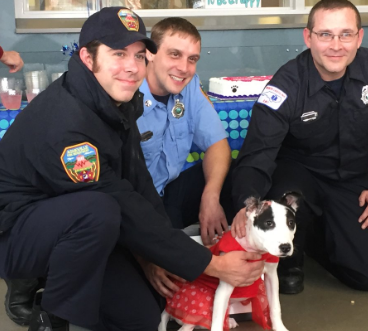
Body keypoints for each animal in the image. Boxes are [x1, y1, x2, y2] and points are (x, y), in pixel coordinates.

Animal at [158, 192, 300, 331]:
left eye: (291, 223)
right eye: (269, 223)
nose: (286, 247)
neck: (256, 249)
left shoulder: (271, 278)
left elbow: (275, 306)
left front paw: (279, 327)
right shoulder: (225, 286)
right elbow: (217, 322)